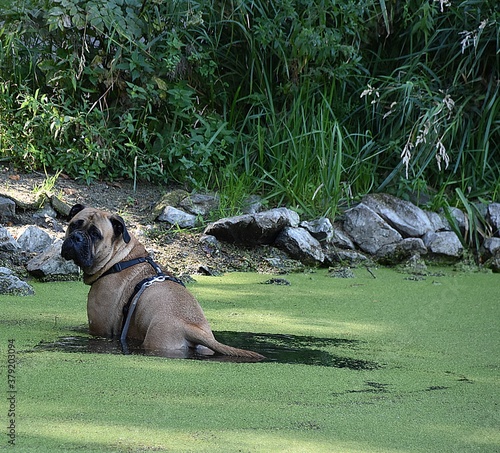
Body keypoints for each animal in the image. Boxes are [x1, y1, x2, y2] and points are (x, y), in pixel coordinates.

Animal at [60, 203, 264, 358]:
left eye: (95, 234)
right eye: (74, 225)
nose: (76, 237)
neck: (120, 258)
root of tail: (189, 326)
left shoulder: (99, 327)